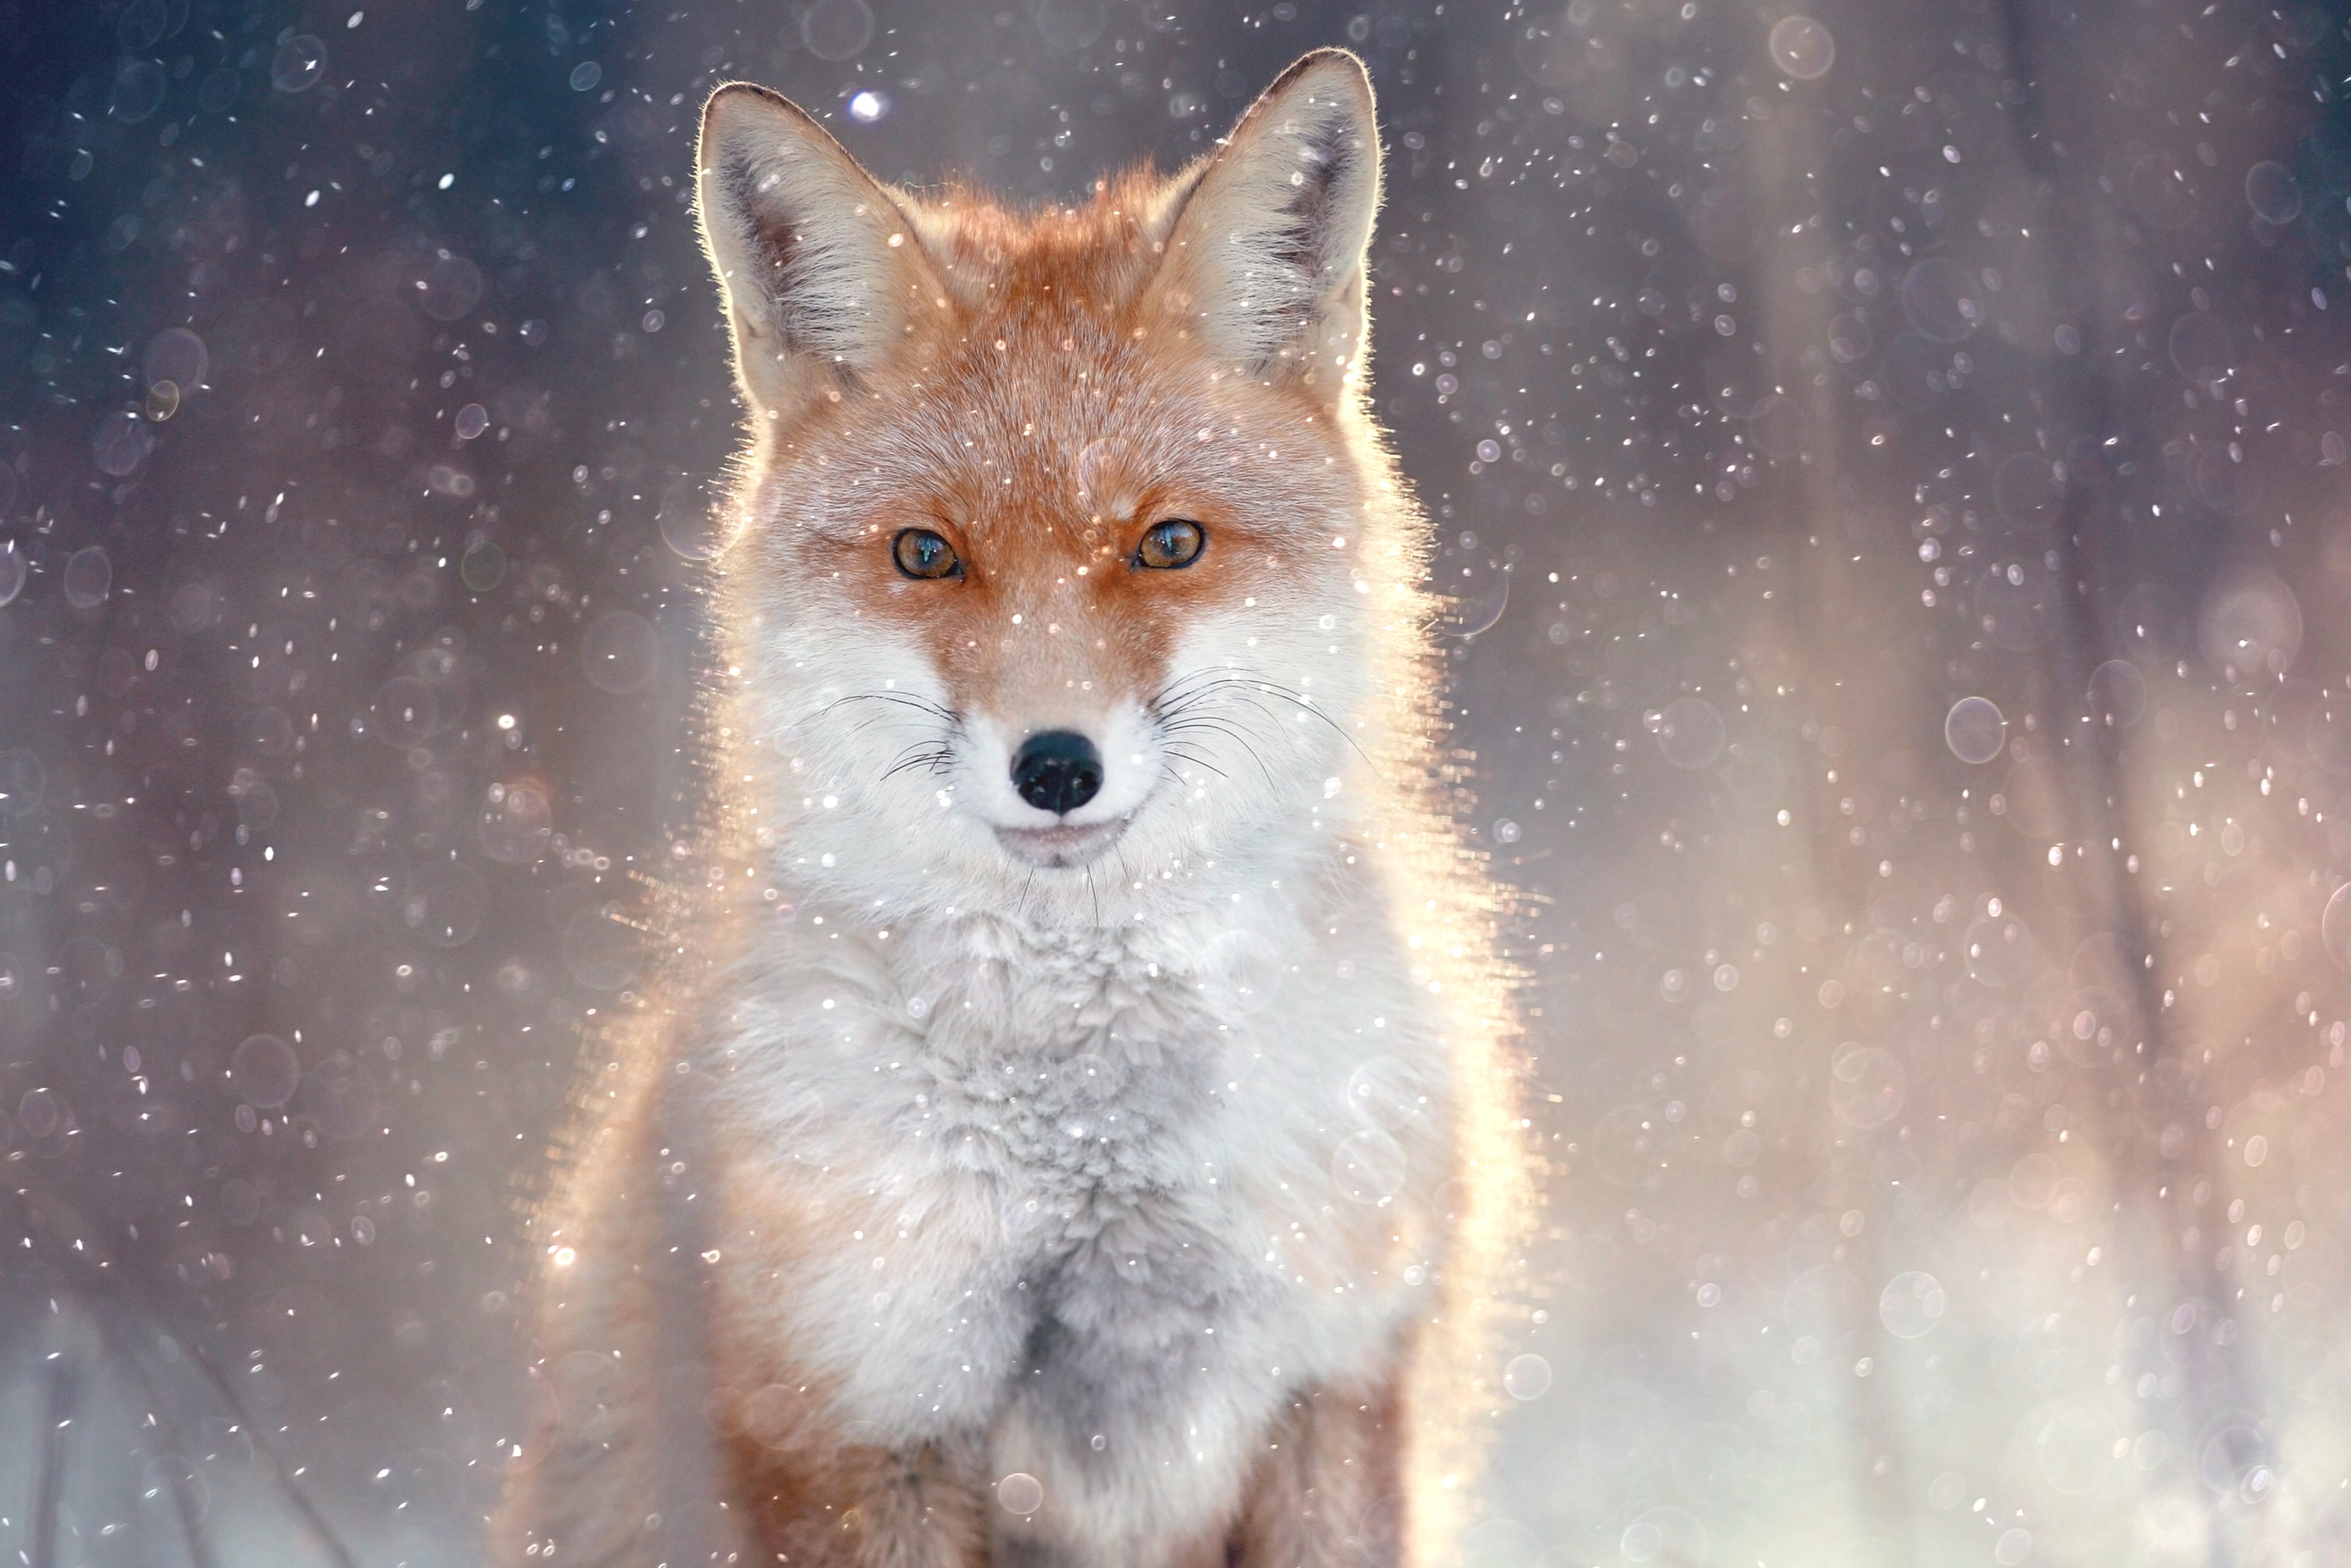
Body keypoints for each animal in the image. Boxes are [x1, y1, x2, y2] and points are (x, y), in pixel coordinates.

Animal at [492, 48, 1529, 1568]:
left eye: (1168, 543)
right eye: (929, 555)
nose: (1056, 766)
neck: (1095, 1152)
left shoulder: (1334, 1383)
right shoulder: (859, 1410)